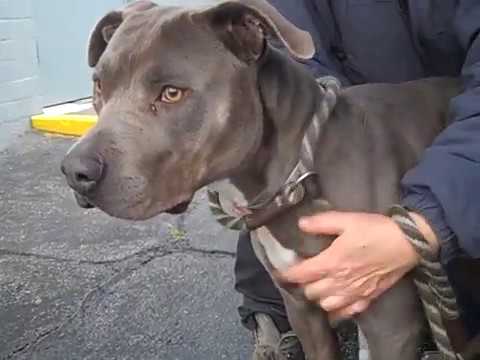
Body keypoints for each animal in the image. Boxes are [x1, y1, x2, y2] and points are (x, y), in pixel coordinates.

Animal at [60, 1, 462, 358]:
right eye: (99, 86)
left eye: (172, 93)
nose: (74, 171)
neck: (295, 179)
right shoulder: (302, 309)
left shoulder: (389, 326)